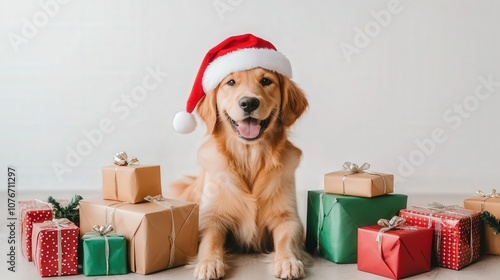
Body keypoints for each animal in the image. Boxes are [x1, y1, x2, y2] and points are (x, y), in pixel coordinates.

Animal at [172, 66, 310, 280]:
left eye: (266, 80)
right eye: (230, 82)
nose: (249, 103)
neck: (249, 158)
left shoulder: (288, 217)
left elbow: (286, 239)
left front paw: (288, 261)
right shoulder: (211, 217)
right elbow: (210, 240)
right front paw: (209, 263)